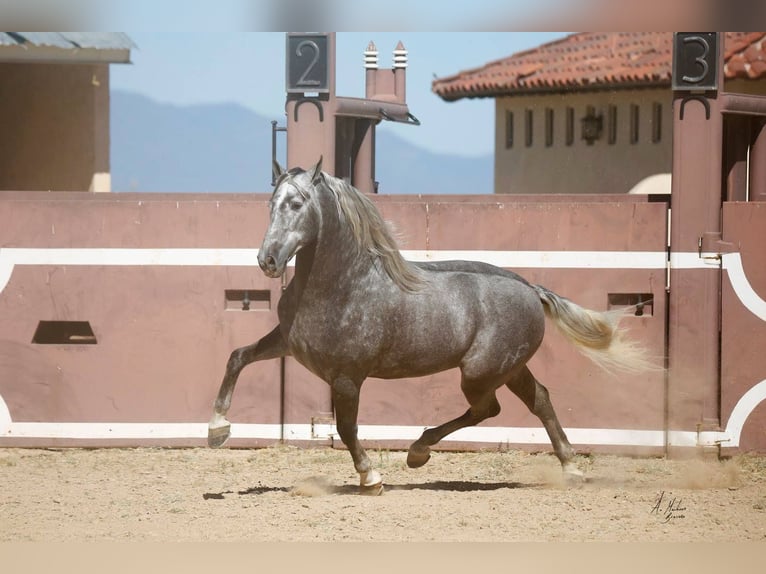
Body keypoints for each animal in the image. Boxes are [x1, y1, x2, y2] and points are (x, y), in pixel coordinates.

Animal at [208, 157, 654, 494]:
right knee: (539, 400)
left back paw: (418, 451)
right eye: (271, 203)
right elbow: (237, 357)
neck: (343, 285)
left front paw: (371, 478)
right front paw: (217, 429)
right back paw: (570, 468)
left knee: (488, 408)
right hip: (509, 368)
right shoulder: (286, 343)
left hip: (480, 372)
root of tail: (530, 289)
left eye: (298, 204)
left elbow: (347, 428)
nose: (267, 260)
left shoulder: (348, 376)